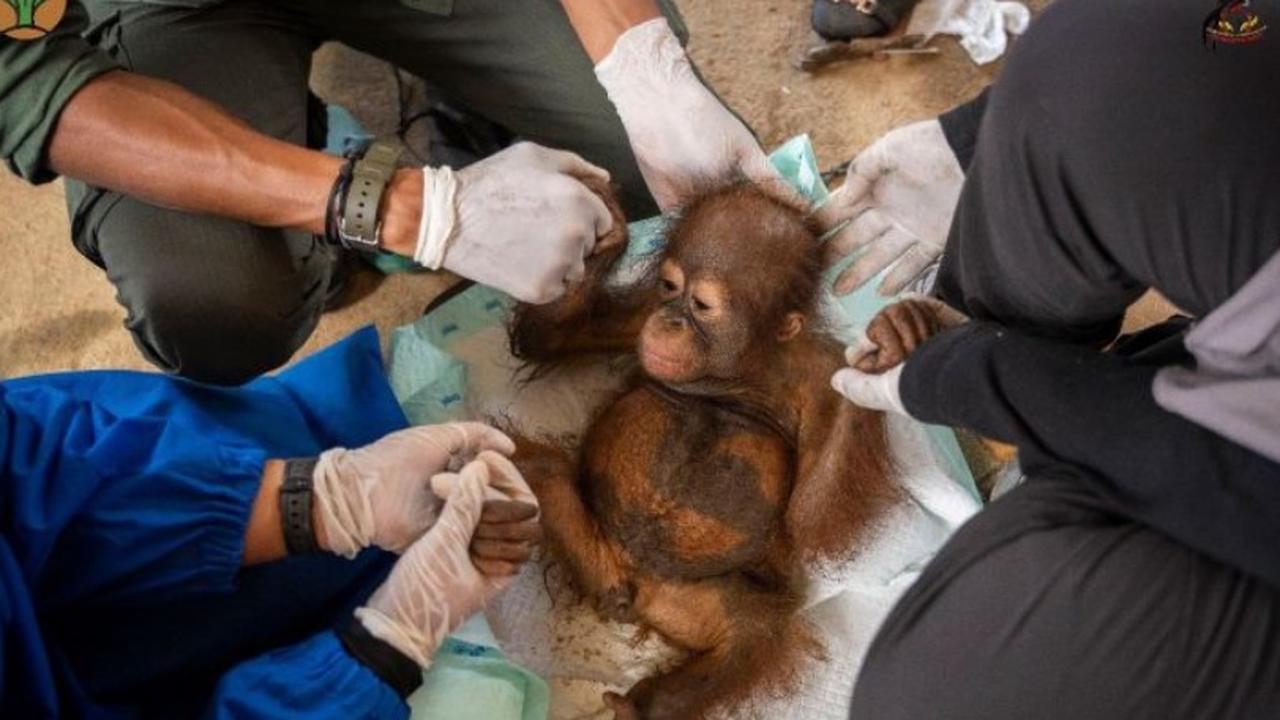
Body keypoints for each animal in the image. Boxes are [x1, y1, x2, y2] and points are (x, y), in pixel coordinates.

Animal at [506, 180, 898, 719]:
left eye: (703, 304)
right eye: (671, 287)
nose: (670, 320)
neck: (739, 367)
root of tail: (627, 577)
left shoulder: (820, 375)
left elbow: (810, 521)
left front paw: (886, 355)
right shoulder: (641, 315)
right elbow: (553, 337)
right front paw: (607, 233)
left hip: (689, 599)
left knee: (752, 631)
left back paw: (639, 707)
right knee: (534, 468)